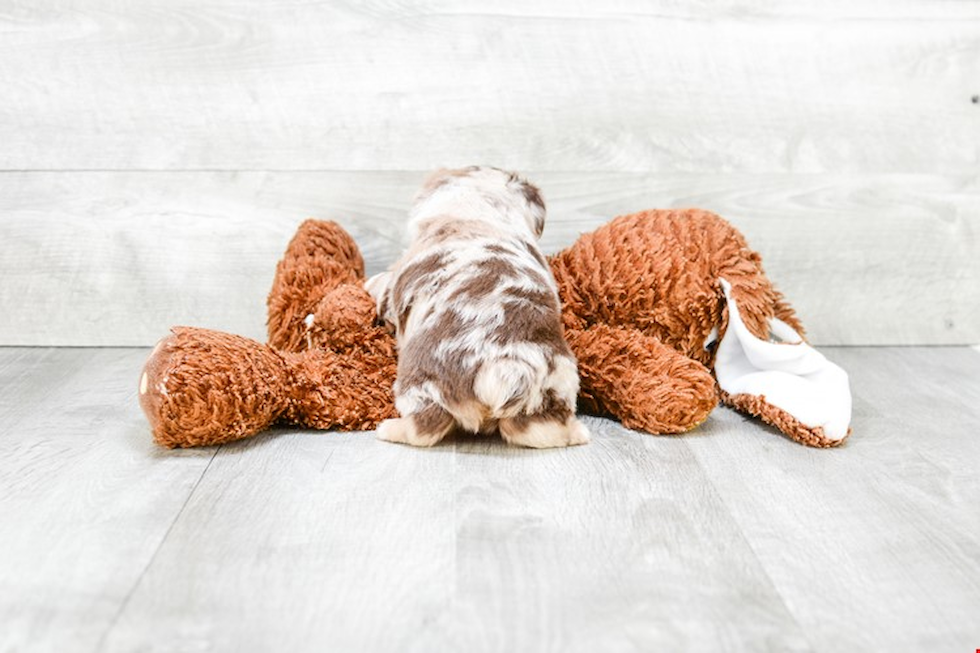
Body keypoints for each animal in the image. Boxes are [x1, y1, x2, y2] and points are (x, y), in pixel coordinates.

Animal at [368, 166, 588, 446]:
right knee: (543, 431)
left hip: (419, 385)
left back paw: (388, 428)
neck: (479, 207)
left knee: (424, 427)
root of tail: (501, 367)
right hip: (551, 394)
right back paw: (579, 433)